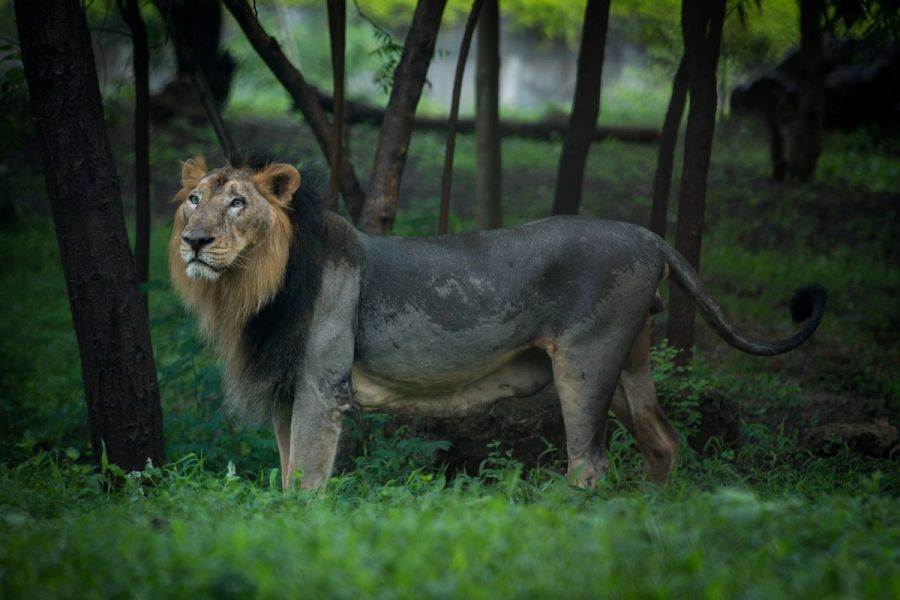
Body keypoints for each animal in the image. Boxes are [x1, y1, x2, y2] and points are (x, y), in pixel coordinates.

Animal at [169, 155, 826, 490]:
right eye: (193, 200)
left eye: (238, 203)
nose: (192, 241)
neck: (252, 289)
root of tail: (647, 235)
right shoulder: (287, 392)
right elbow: (285, 477)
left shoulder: (322, 389)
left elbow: (304, 481)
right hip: (630, 361)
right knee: (662, 441)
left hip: (587, 362)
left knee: (590, 463)